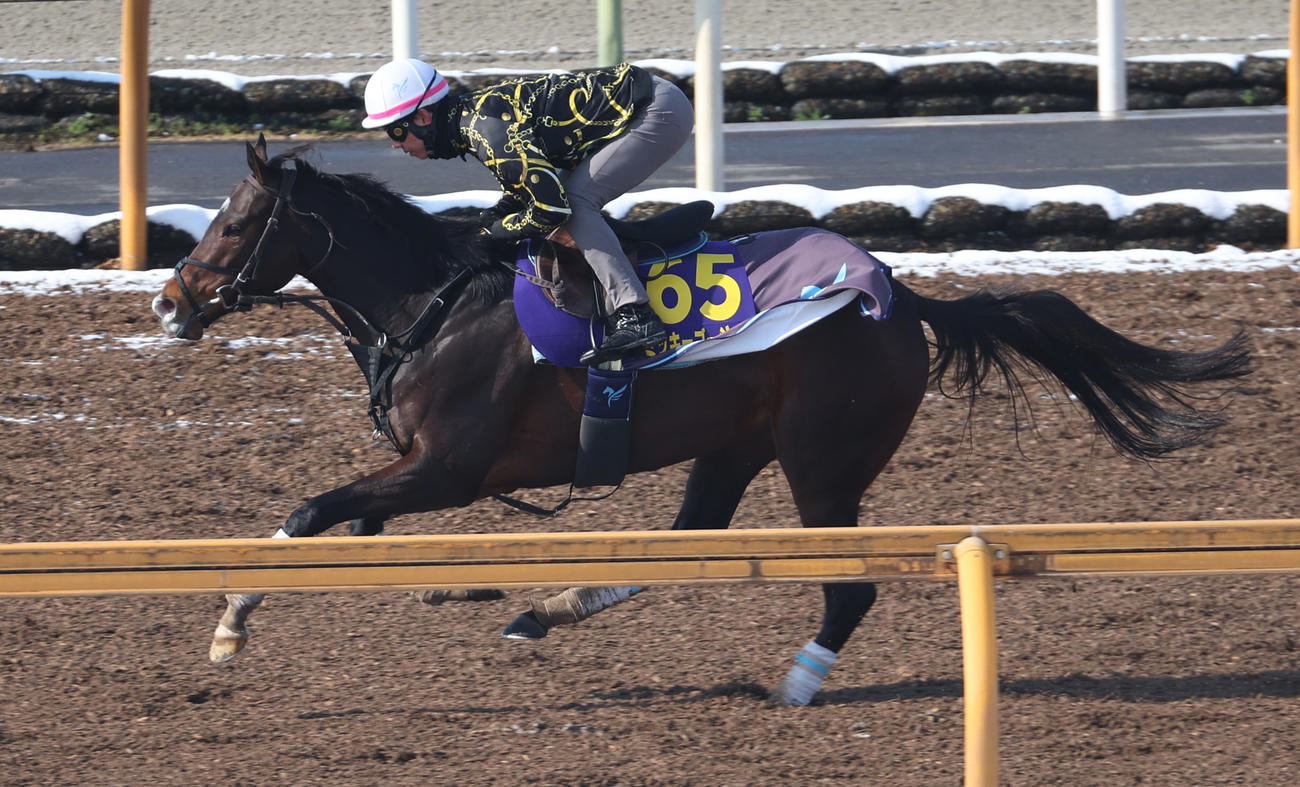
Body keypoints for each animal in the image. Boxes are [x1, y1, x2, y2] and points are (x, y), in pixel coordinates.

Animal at [150, 137, 1250, 705]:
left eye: (236, 222)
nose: (169, 301)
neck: (433, 303)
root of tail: (900, 293)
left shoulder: (449, 469)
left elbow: (307, 511)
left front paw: (230, 622)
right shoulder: (420, 471)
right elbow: (340, 517)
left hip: (822, 459)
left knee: (846, 585)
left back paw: (799, 682)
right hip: (734, 443)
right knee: (690, 536)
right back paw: (544, 609)